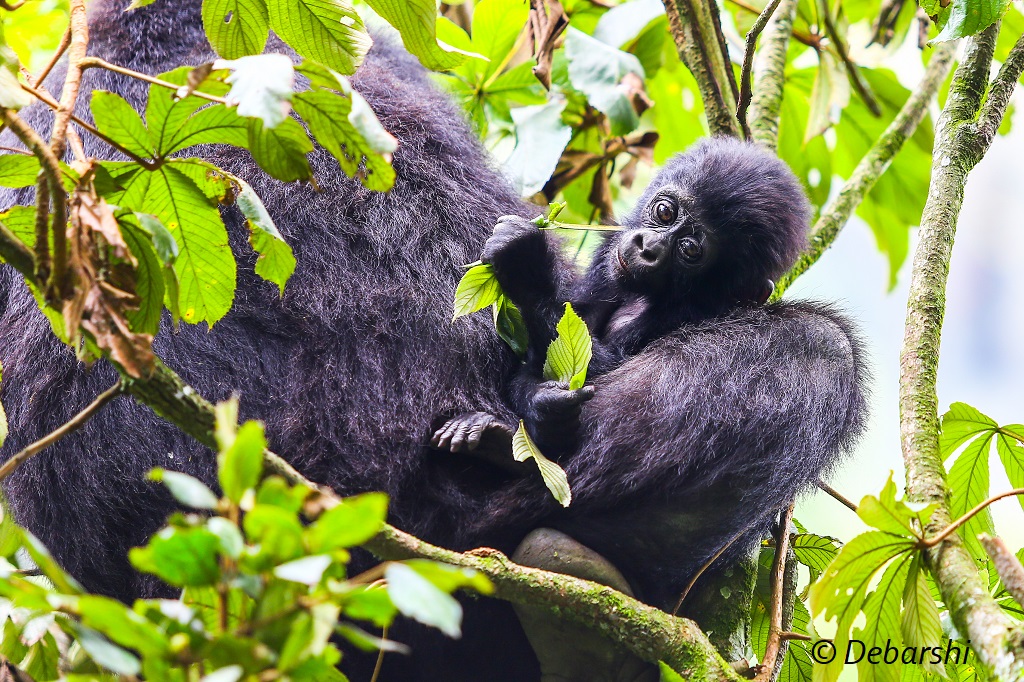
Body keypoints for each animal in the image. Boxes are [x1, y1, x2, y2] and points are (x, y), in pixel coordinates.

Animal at [432, 137, 806, 456]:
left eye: (690, 249)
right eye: (665, 212)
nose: (648, 247)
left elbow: (601, 376)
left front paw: (527, 263)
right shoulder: (606, 260)